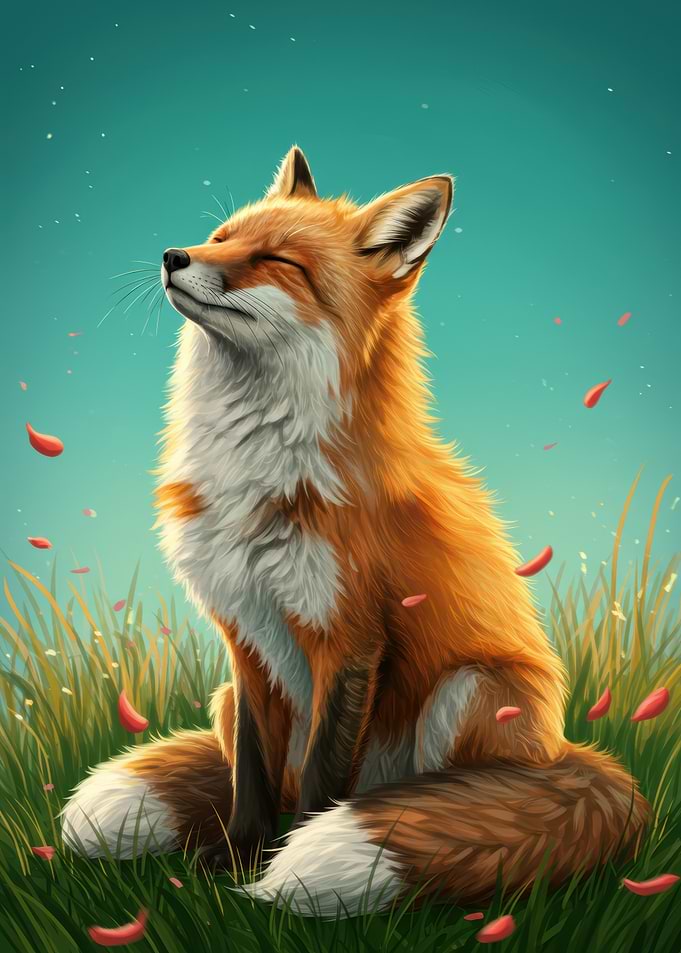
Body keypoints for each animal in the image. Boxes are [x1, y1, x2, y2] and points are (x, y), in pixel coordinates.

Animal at [61, 146, 649, 917]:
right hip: (229, 698)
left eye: (277, 260)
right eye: (222, 236)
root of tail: (564, 754)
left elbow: (320, 783)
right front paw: (236, 861)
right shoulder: (246, 638)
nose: (173, 255)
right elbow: (252, 777)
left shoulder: (350, 638)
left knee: (437, 792)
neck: (261, 472)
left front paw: (275, 876)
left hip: (469, 689)